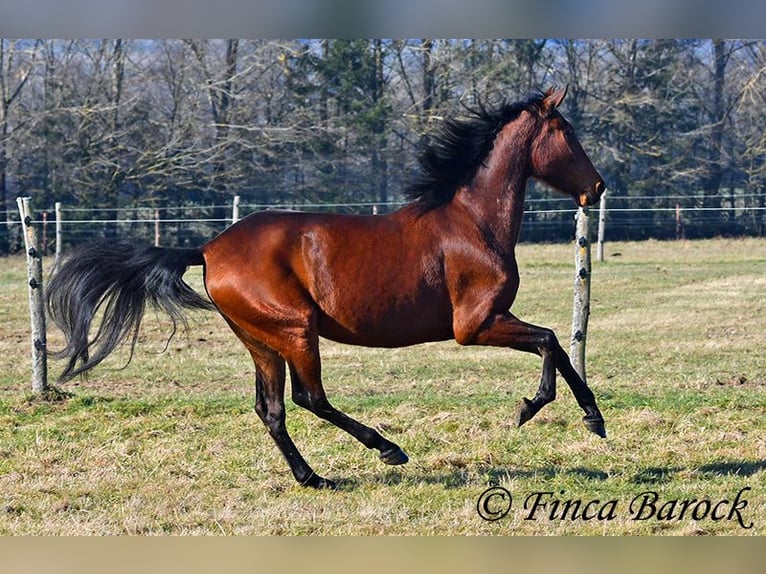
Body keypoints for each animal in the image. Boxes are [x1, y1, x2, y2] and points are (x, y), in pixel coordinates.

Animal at [48, 86, 608, 490]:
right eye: (567, 131)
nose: (597, 187)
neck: (472, 222)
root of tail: (208, 248)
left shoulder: (487, 323)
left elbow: (557, 344)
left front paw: (590, 419)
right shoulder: (475, 325)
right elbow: (551, 341)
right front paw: (543, 409)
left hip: (261, 340)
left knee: (271, 409)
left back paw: (313, 478)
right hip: (296, 329)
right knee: (309, 397)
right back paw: (387, 449)